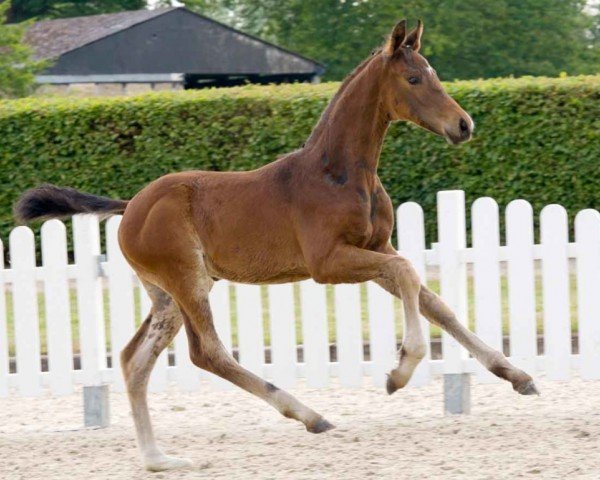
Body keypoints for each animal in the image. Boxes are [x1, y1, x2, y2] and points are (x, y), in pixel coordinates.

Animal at [16, 20, 536, 470]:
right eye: (413, 78)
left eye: (434, 74)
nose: (464, 125)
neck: (339, 174)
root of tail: (131, 207)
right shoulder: (329, 263)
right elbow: (409, 273)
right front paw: (400, 371)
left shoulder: (378, 249)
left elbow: (434, 301)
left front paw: (517, 375)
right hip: (187, 280)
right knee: (207, 353)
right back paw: (309, 415)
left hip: (166, 295)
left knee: (134, 359)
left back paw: (158, 459)